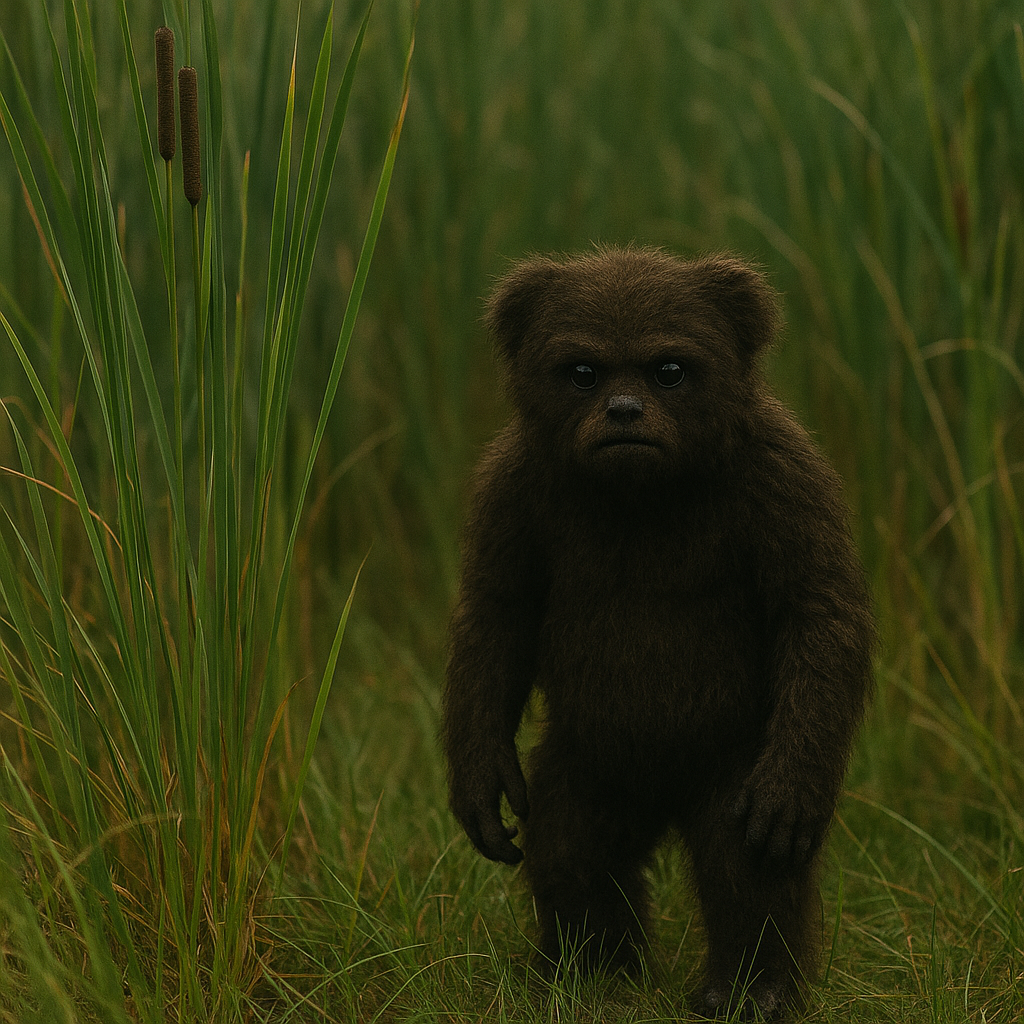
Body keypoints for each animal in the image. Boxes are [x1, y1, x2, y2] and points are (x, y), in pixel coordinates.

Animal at [442, 246, 875, 1019]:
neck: (641, 495)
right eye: (583, 369)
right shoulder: (511, 494)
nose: (624, 410)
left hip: (734, 757)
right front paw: (479, 783)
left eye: (668, 367)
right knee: (572, 846)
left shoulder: (784, 479)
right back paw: (590, 969)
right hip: (592, 760)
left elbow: (818, 614)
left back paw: (747, 989)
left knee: (741, 864)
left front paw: (793, 792)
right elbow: (496, 621)